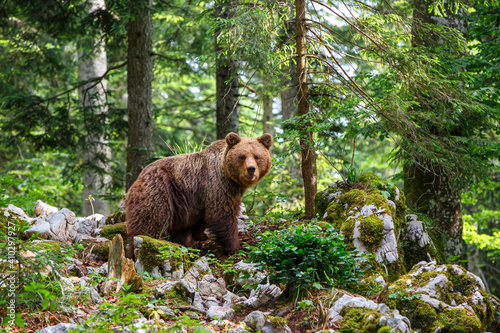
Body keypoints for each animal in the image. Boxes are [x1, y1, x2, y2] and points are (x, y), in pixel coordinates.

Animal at [125, 132, 274, 256]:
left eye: (257, 156)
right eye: (242, 156)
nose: (251, 169)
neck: (231, 178)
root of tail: (138, 178)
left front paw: (192, 241)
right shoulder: (217, 186)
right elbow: (223, 216)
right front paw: (235, 247)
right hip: (159, 189)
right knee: (151, 222)